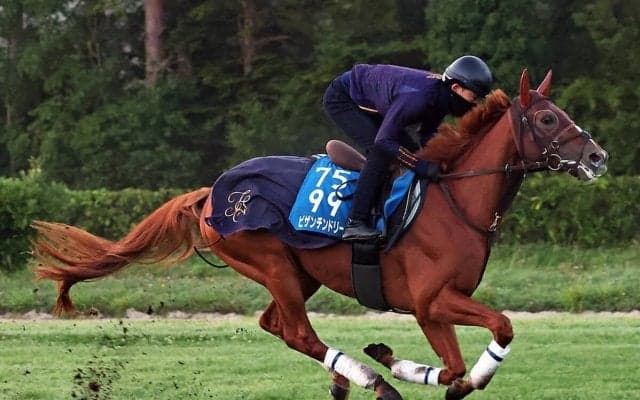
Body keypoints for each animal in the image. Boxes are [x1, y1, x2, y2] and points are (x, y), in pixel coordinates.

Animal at [32, 70, 608, 400]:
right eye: (548, 118)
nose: (598, 157)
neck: (454, 201)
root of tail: (211, 195)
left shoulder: (442, 304)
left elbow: (462, 364)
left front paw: (403, 363)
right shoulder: (430, 302)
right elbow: (483, 343)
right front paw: (395, 366)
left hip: (298, 272)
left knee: (277, 326)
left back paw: (345, 379)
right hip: (270, 262)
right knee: (299, 334)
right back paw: (371, 381)